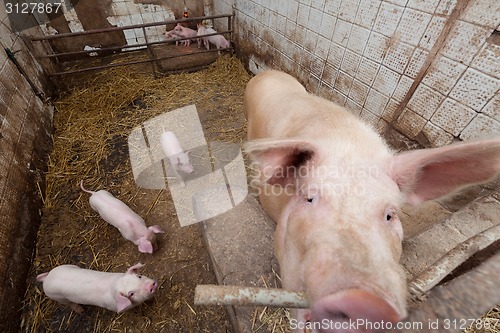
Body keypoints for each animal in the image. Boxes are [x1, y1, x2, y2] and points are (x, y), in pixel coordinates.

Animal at [244, 69, 500, 330]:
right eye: (309, 198)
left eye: (390, 214)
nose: (362, 302)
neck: (351, 148)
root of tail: (268, 72)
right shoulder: (285, 255)